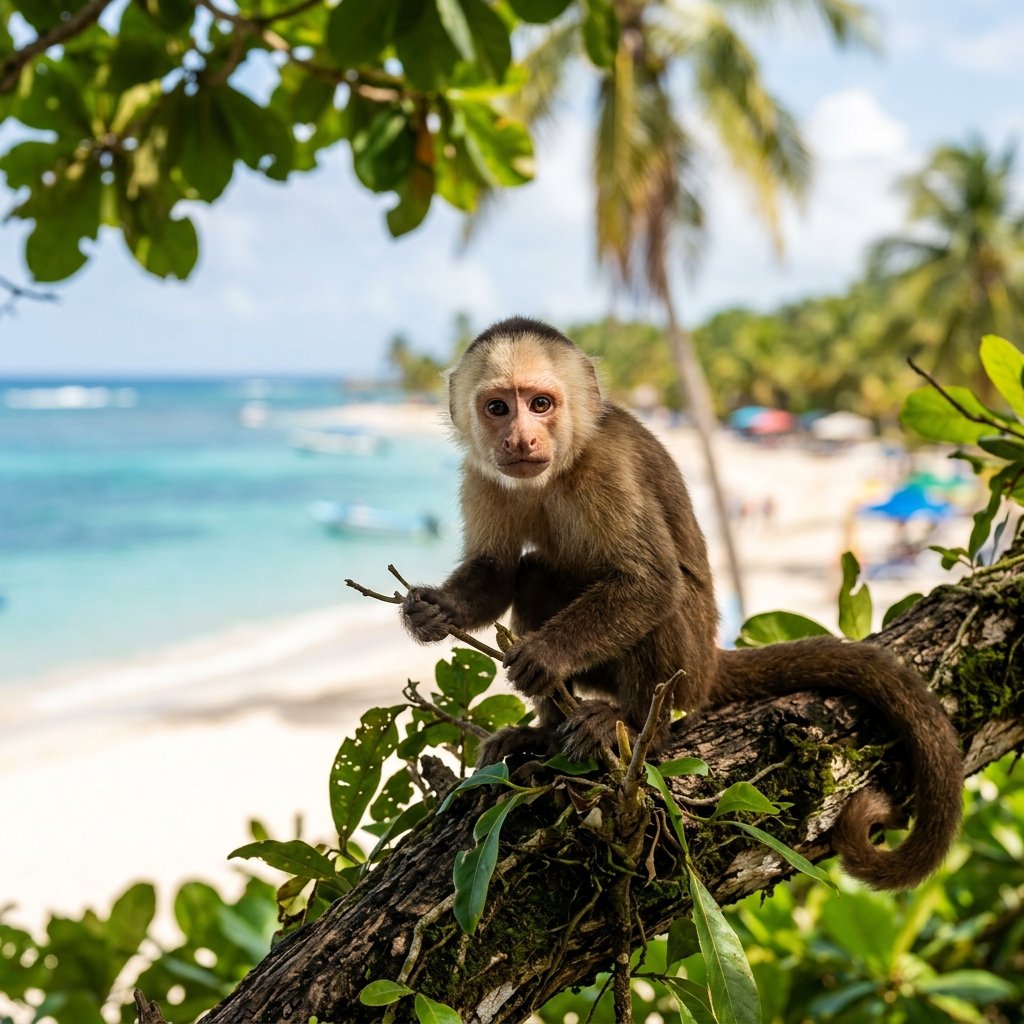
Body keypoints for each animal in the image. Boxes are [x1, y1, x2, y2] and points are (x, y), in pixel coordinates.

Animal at [401, 316, 963, 891]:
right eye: (498, 408)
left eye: (540, 404)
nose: (520, 437)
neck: (556, 470)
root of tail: (710, 661)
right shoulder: (480, 475)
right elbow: (495, 572)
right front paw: (434, 610)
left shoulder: (607, 467)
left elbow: (651, 583)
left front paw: (547, 655)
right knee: (535, 575)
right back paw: (543, 734)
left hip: (687, 666)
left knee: (661, 609)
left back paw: (633, 728)